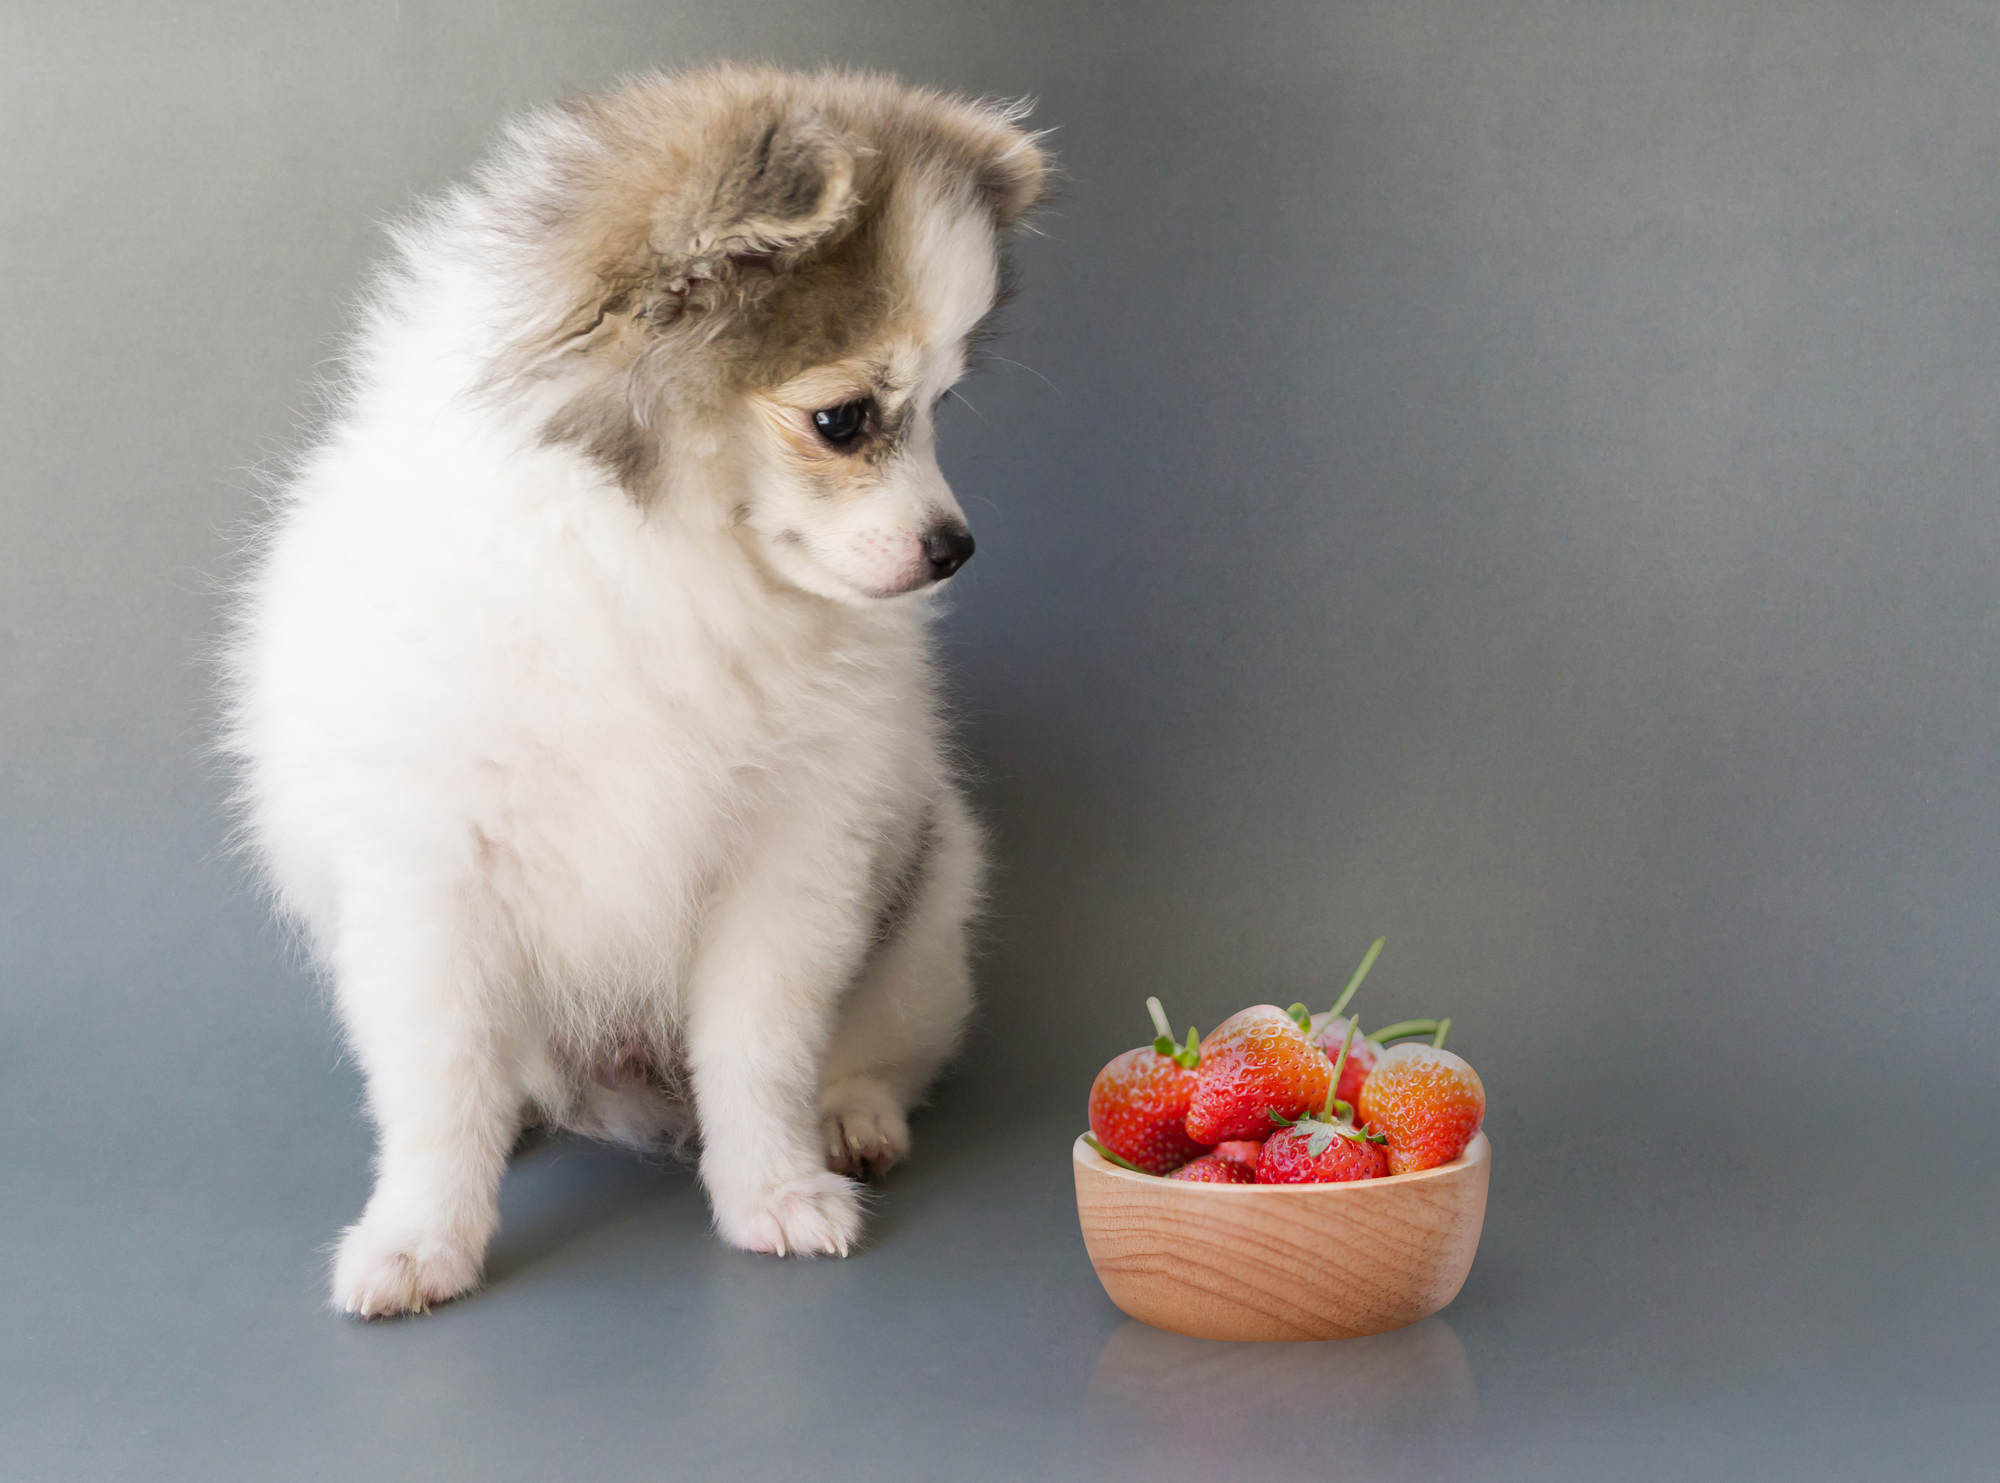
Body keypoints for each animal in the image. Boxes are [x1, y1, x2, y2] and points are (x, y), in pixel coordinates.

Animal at [223, 72, 1048, 1327]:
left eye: (943, 407)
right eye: (844, 420)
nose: (954, 547)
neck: (662, 565)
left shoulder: (789, 863)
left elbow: (760, 1050)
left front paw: (773, 1191)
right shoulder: (430, 876)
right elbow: (440, 1082)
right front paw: (420, 1236)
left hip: (925, 915)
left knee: (885, 1045)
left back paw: (853, 1115)